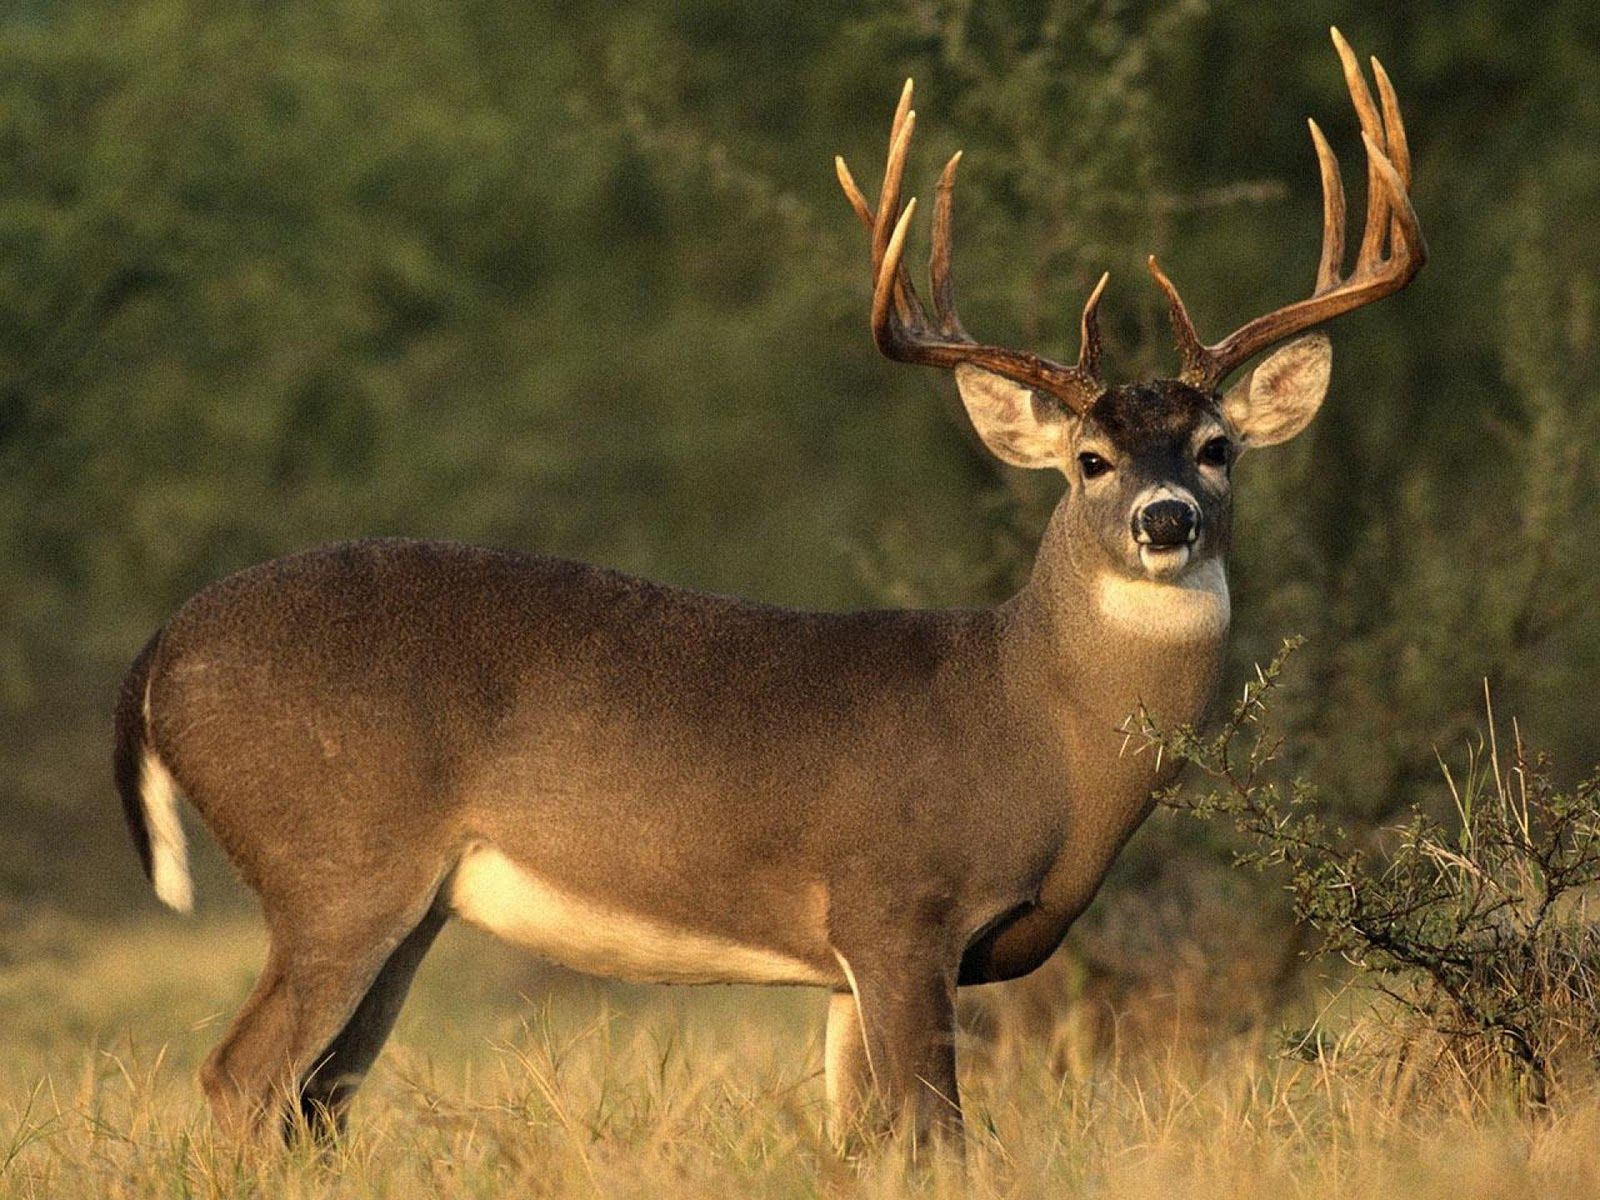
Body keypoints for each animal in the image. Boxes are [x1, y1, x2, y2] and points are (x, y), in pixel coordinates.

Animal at [112, 28, 1422, 1152]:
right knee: (241, 1078)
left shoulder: (847, 965)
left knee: (316, 1100)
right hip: (335, 860)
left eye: (1216, 447)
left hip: (406, 906)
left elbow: (865, 1145)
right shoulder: (897, 905)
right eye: (1090, 460)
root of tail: (159, 654)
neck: (1034, 730)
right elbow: (940, 1139)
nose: (1165, 520)